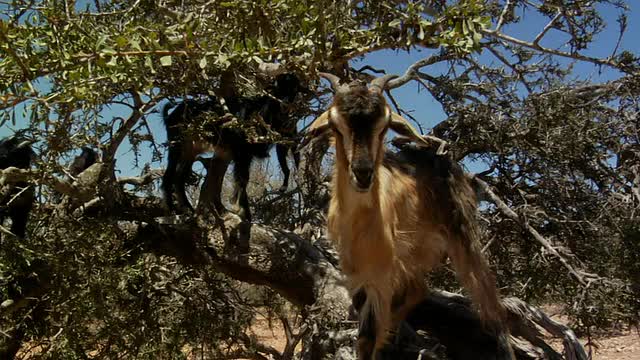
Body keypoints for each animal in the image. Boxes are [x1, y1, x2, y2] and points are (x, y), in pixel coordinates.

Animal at [160, 73, 300, 221]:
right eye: (278, 89)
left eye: (294, 90)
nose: (286, 105)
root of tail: (171, 116)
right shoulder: (242, 151)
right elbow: (242, 179)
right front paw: (244, 213)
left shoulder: (248, 154)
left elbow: (243, 179)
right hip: (177, 144)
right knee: (169, 175)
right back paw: (173, 209)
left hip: (190, 150)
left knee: (179, 177)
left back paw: (188, 209)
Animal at [302, 74, 516, 360]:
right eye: (336, 126)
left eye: (384, 127)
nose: (362, 173)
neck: (361, 223)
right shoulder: (355, 272)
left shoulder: (381, 275)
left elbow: (367, 337)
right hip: (415, 252)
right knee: (418, 289)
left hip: (463, 239)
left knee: (492, 307)